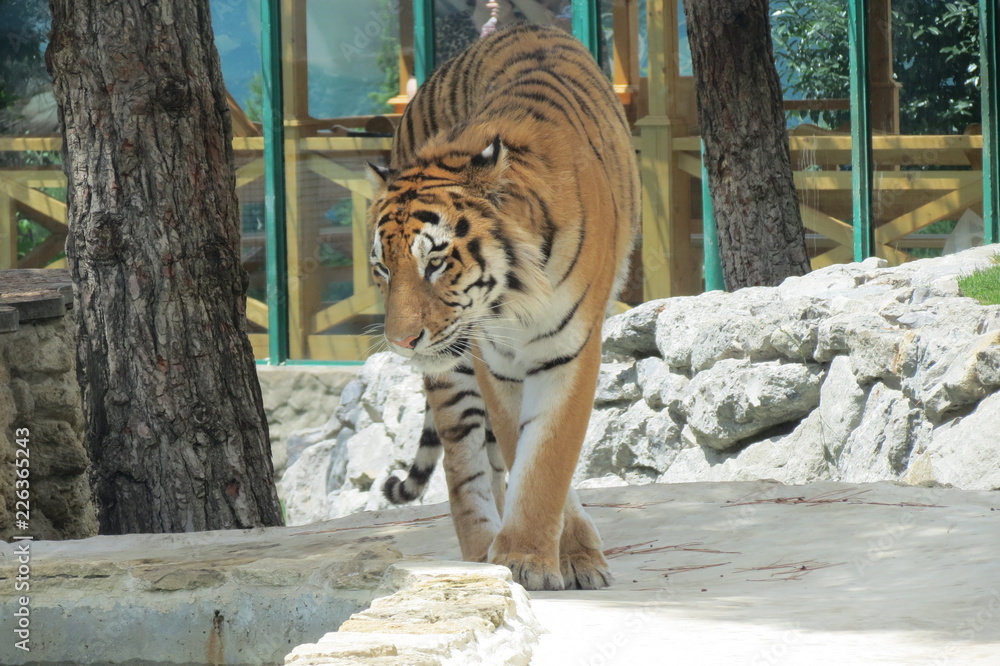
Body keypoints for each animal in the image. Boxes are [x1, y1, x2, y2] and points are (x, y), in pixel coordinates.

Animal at [367, 23, 639, 591]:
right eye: (382, 267)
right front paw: (530, 556)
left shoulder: (569, 351)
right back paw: (479, 552)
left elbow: (549, 456)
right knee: (463, 461)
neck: (509, 300)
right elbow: (524, 452)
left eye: (435, 262)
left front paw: (545, 557)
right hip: (453, 374)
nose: (401, 342)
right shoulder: (497, 362)